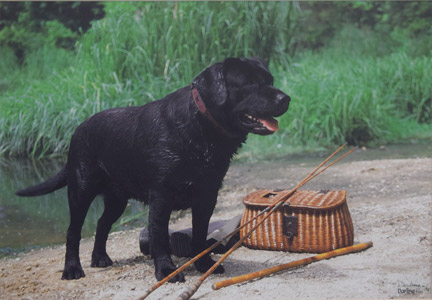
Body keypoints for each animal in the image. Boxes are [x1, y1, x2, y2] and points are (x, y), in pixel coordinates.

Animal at [16, 57, 288, 282]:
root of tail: (77, 130)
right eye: (249, 83)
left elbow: (200, 235)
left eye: (270, 80)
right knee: (73, 232)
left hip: (117, 200)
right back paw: (72, 269)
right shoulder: (161, 196)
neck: (200, 131)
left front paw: (203, 265)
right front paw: (166, 270)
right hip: (80, 191)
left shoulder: (207, 196)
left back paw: (100, 258)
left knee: (102, 225)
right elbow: (159, 236)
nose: (285, 98)